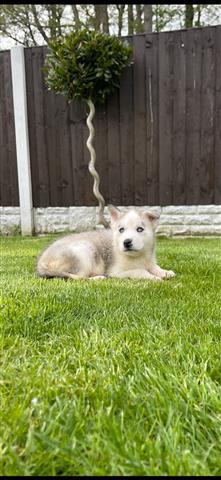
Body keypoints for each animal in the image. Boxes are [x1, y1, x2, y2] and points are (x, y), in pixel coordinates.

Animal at [36, 206, 176, 282]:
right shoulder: (115, 272)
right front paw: (154, 278)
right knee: (78, 278)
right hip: (83, 251)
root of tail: (41, 263)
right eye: (121, 230)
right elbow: (139, 271)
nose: (126, 242)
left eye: (140, 229)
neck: (137, 257)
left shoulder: (149, 261)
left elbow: (154, 267)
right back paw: (97, 278)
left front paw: (165, 272)